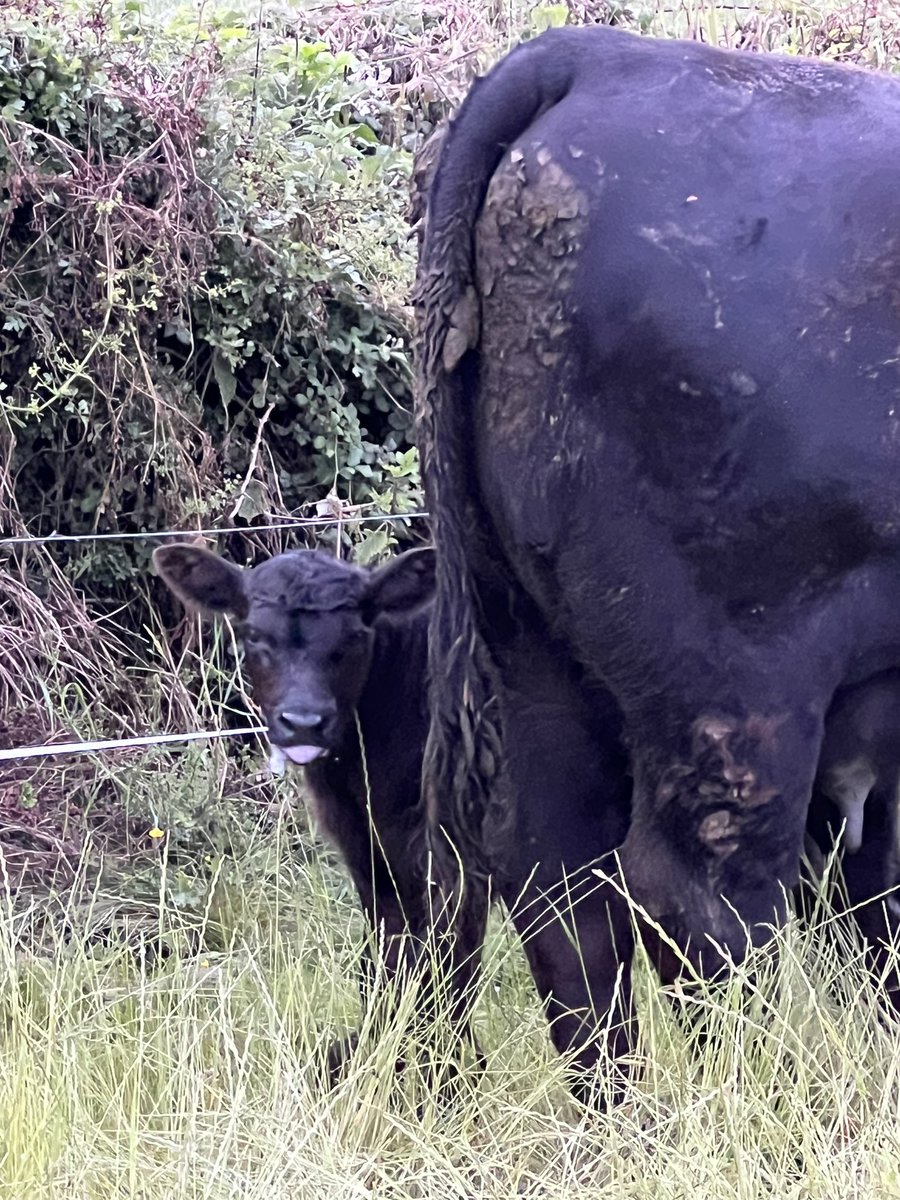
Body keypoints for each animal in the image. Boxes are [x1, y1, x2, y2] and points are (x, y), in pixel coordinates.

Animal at [153, 544, 441, 1070]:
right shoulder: (364, 849)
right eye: (252, 634)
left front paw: (448, 1078)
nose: (304, 722)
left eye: (355, 635)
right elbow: (388, 961)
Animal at [417, 23, 900, 1099]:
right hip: (738, 676)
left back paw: (618, 1117)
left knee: (558, 878)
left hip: (531, 645)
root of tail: (598, 52)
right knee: (701, 894)